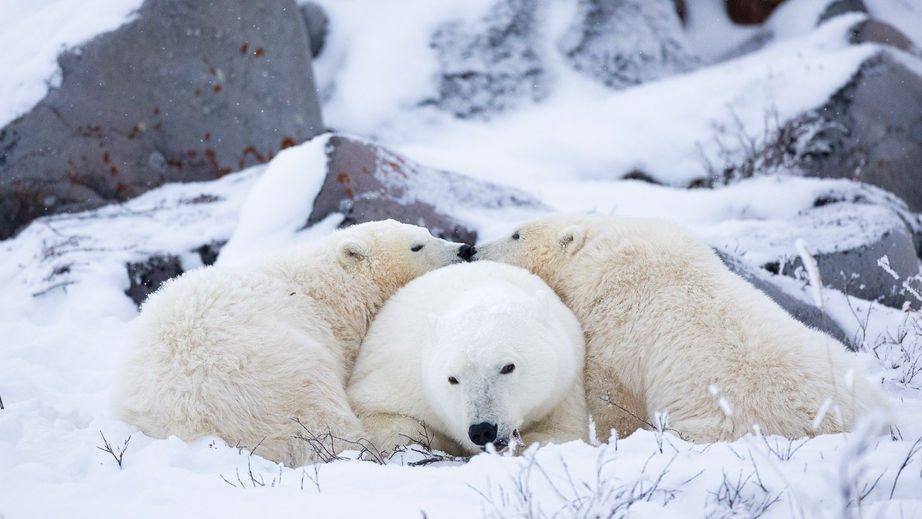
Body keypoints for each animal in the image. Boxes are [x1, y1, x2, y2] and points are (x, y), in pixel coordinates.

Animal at [114, 220, 473, 467]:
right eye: (417, 246)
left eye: (429, 232)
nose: (465, 249)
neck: (333, 285)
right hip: (276, 377)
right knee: (325, 421)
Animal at [347, 260, 589, 456]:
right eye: (452, 379)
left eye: (508, 367)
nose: (482, 430)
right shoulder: (405, 377)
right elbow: (375, 413)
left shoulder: (563, 386)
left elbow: (563, 433)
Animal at [474, 213, 888, 443]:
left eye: (516, 234)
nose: (471, 250)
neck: (596, 261)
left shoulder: (618, 323)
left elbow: (614, 397)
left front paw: (612, 440)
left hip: (732, 420)